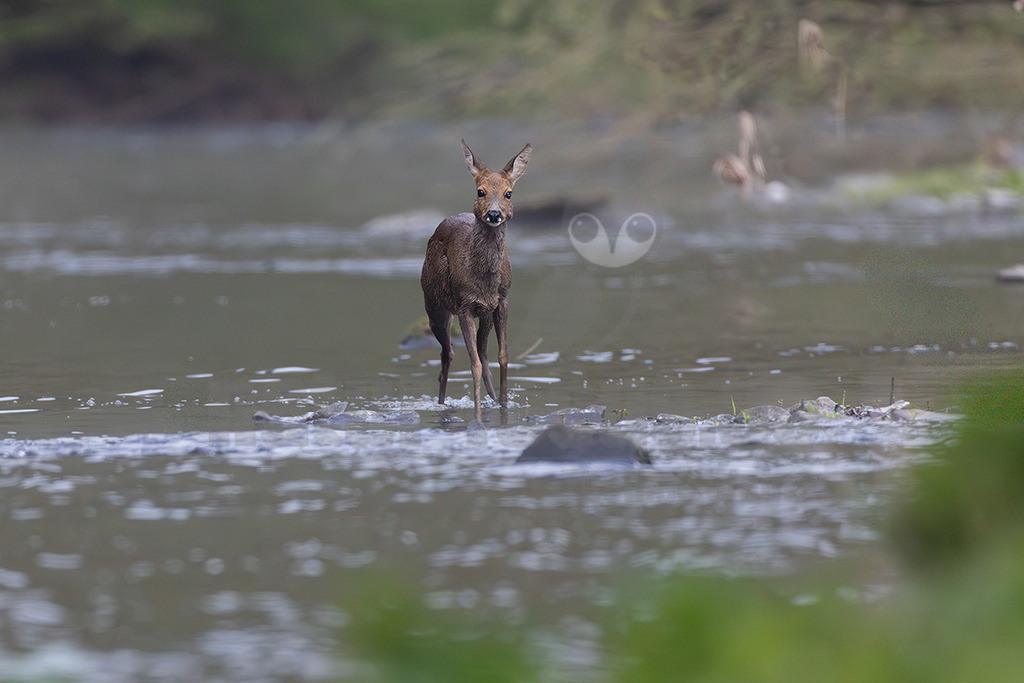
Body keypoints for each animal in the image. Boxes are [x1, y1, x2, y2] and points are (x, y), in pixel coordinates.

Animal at [421, 139, 532, 425]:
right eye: (480, 191)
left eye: (508, 193)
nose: (493, 214)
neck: (484, 280)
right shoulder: (464, 305)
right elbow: (474, 364)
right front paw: (478, 414)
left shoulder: (501, 301)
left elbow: (501, 356)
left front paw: (503, 405)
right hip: (434, 305)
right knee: (447, 355)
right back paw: (441, 406)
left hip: (485, 314)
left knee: (480, 352)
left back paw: (491, 400)